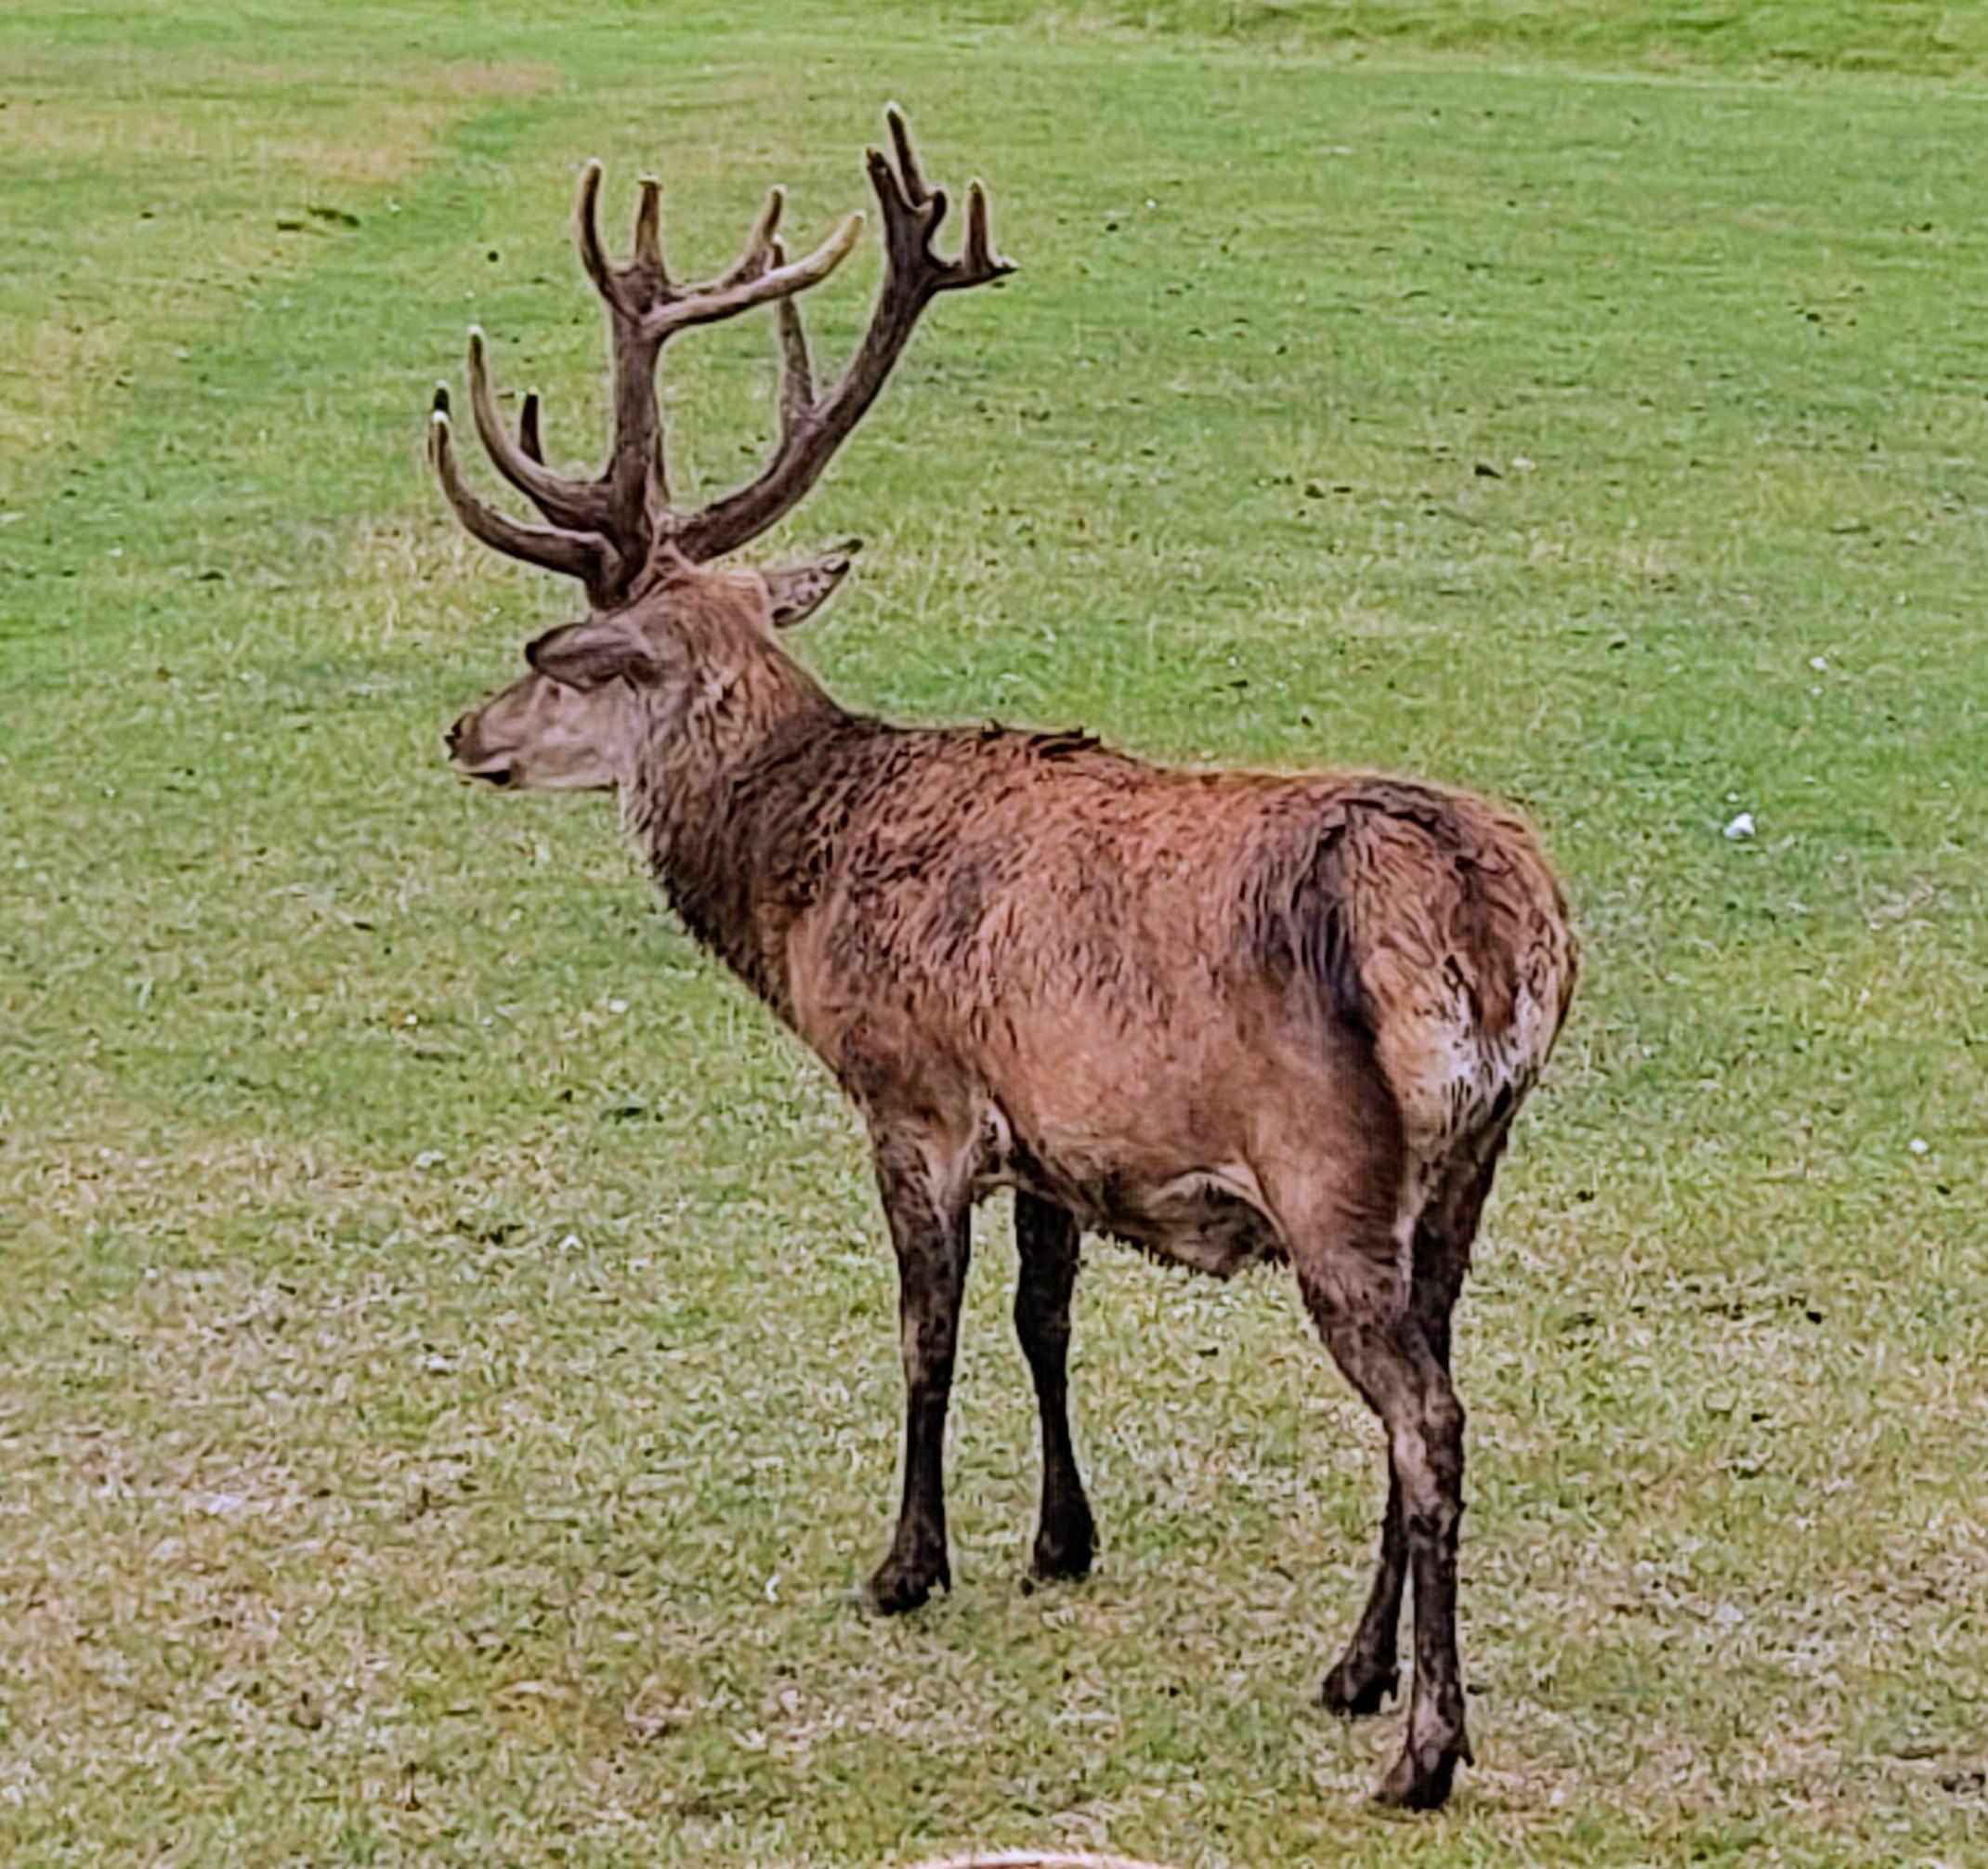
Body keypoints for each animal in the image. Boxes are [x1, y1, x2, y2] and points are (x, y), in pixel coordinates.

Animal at [429, 109, 1577, 1811]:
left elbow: (928, 1335)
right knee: (1432, 1383)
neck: (800, 894)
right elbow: (1045, 1322)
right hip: (1472, 1164)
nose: (463, 732)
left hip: (1327, 1169)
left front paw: (907, 1565)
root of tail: (1503, 927)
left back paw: (1425, 1746)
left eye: (558, 661)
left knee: (1429, 1417)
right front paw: (1060, 1540)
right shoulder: (1059, 1130)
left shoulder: (912, 1092)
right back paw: (1355, 1670)